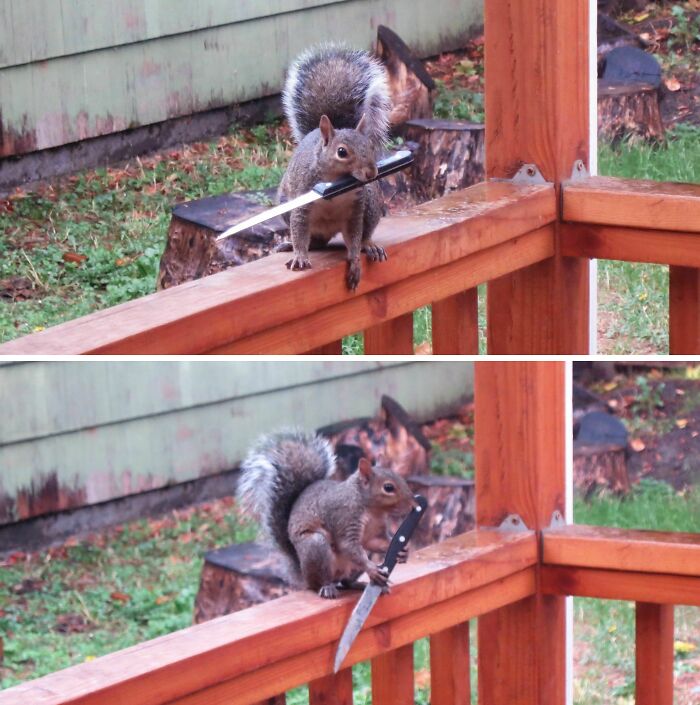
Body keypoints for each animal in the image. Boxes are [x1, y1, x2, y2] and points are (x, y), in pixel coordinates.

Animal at [236, 429, 416, 599]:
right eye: (388, 488)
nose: (413, 504)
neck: (372, 510)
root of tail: (303, 576)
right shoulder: (344, 518)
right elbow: (348, 546)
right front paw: (372, 570)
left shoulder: (375, 531)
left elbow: (376, 542)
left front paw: (402, 551)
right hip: (316, 547)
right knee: (320, 582)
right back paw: (327, 588)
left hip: (348, 569)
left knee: (345, 582)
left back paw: (360, 584)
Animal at [277, 44, 392, 291]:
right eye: (342, 152)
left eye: (370, 146)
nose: (372, 173)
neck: (336, 183)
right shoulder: (302, 200)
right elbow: (299, 230)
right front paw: (299, 255)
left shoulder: (355, 209)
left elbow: (355, 237)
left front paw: (356, 262)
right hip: (285, 204)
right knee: (312, 241)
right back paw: (291, 245)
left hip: (371, 203)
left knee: (365, 233)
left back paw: (369, 245)